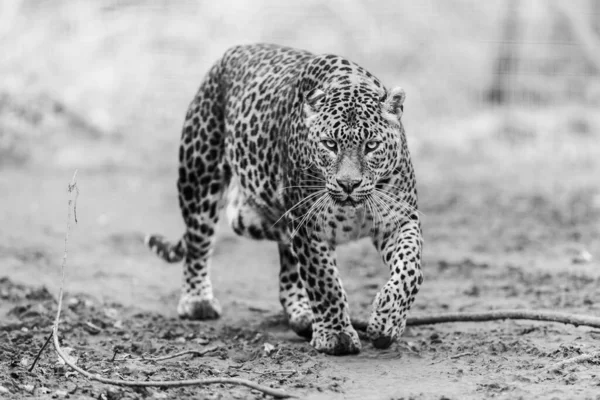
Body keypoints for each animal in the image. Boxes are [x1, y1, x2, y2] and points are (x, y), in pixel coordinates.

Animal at [145, 43, 422, 356]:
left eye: (371, 145)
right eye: (330, 145)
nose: (348, 184)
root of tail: (232, 52)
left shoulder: (400, 219)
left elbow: (410, 270)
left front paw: (387, 321)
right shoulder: (309, 225)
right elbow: (324, 281)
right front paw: (336, 336)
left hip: (256, 215)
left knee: (287, 266)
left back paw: (302, 314)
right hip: (200, 177)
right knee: (197, 242)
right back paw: (197, 301)